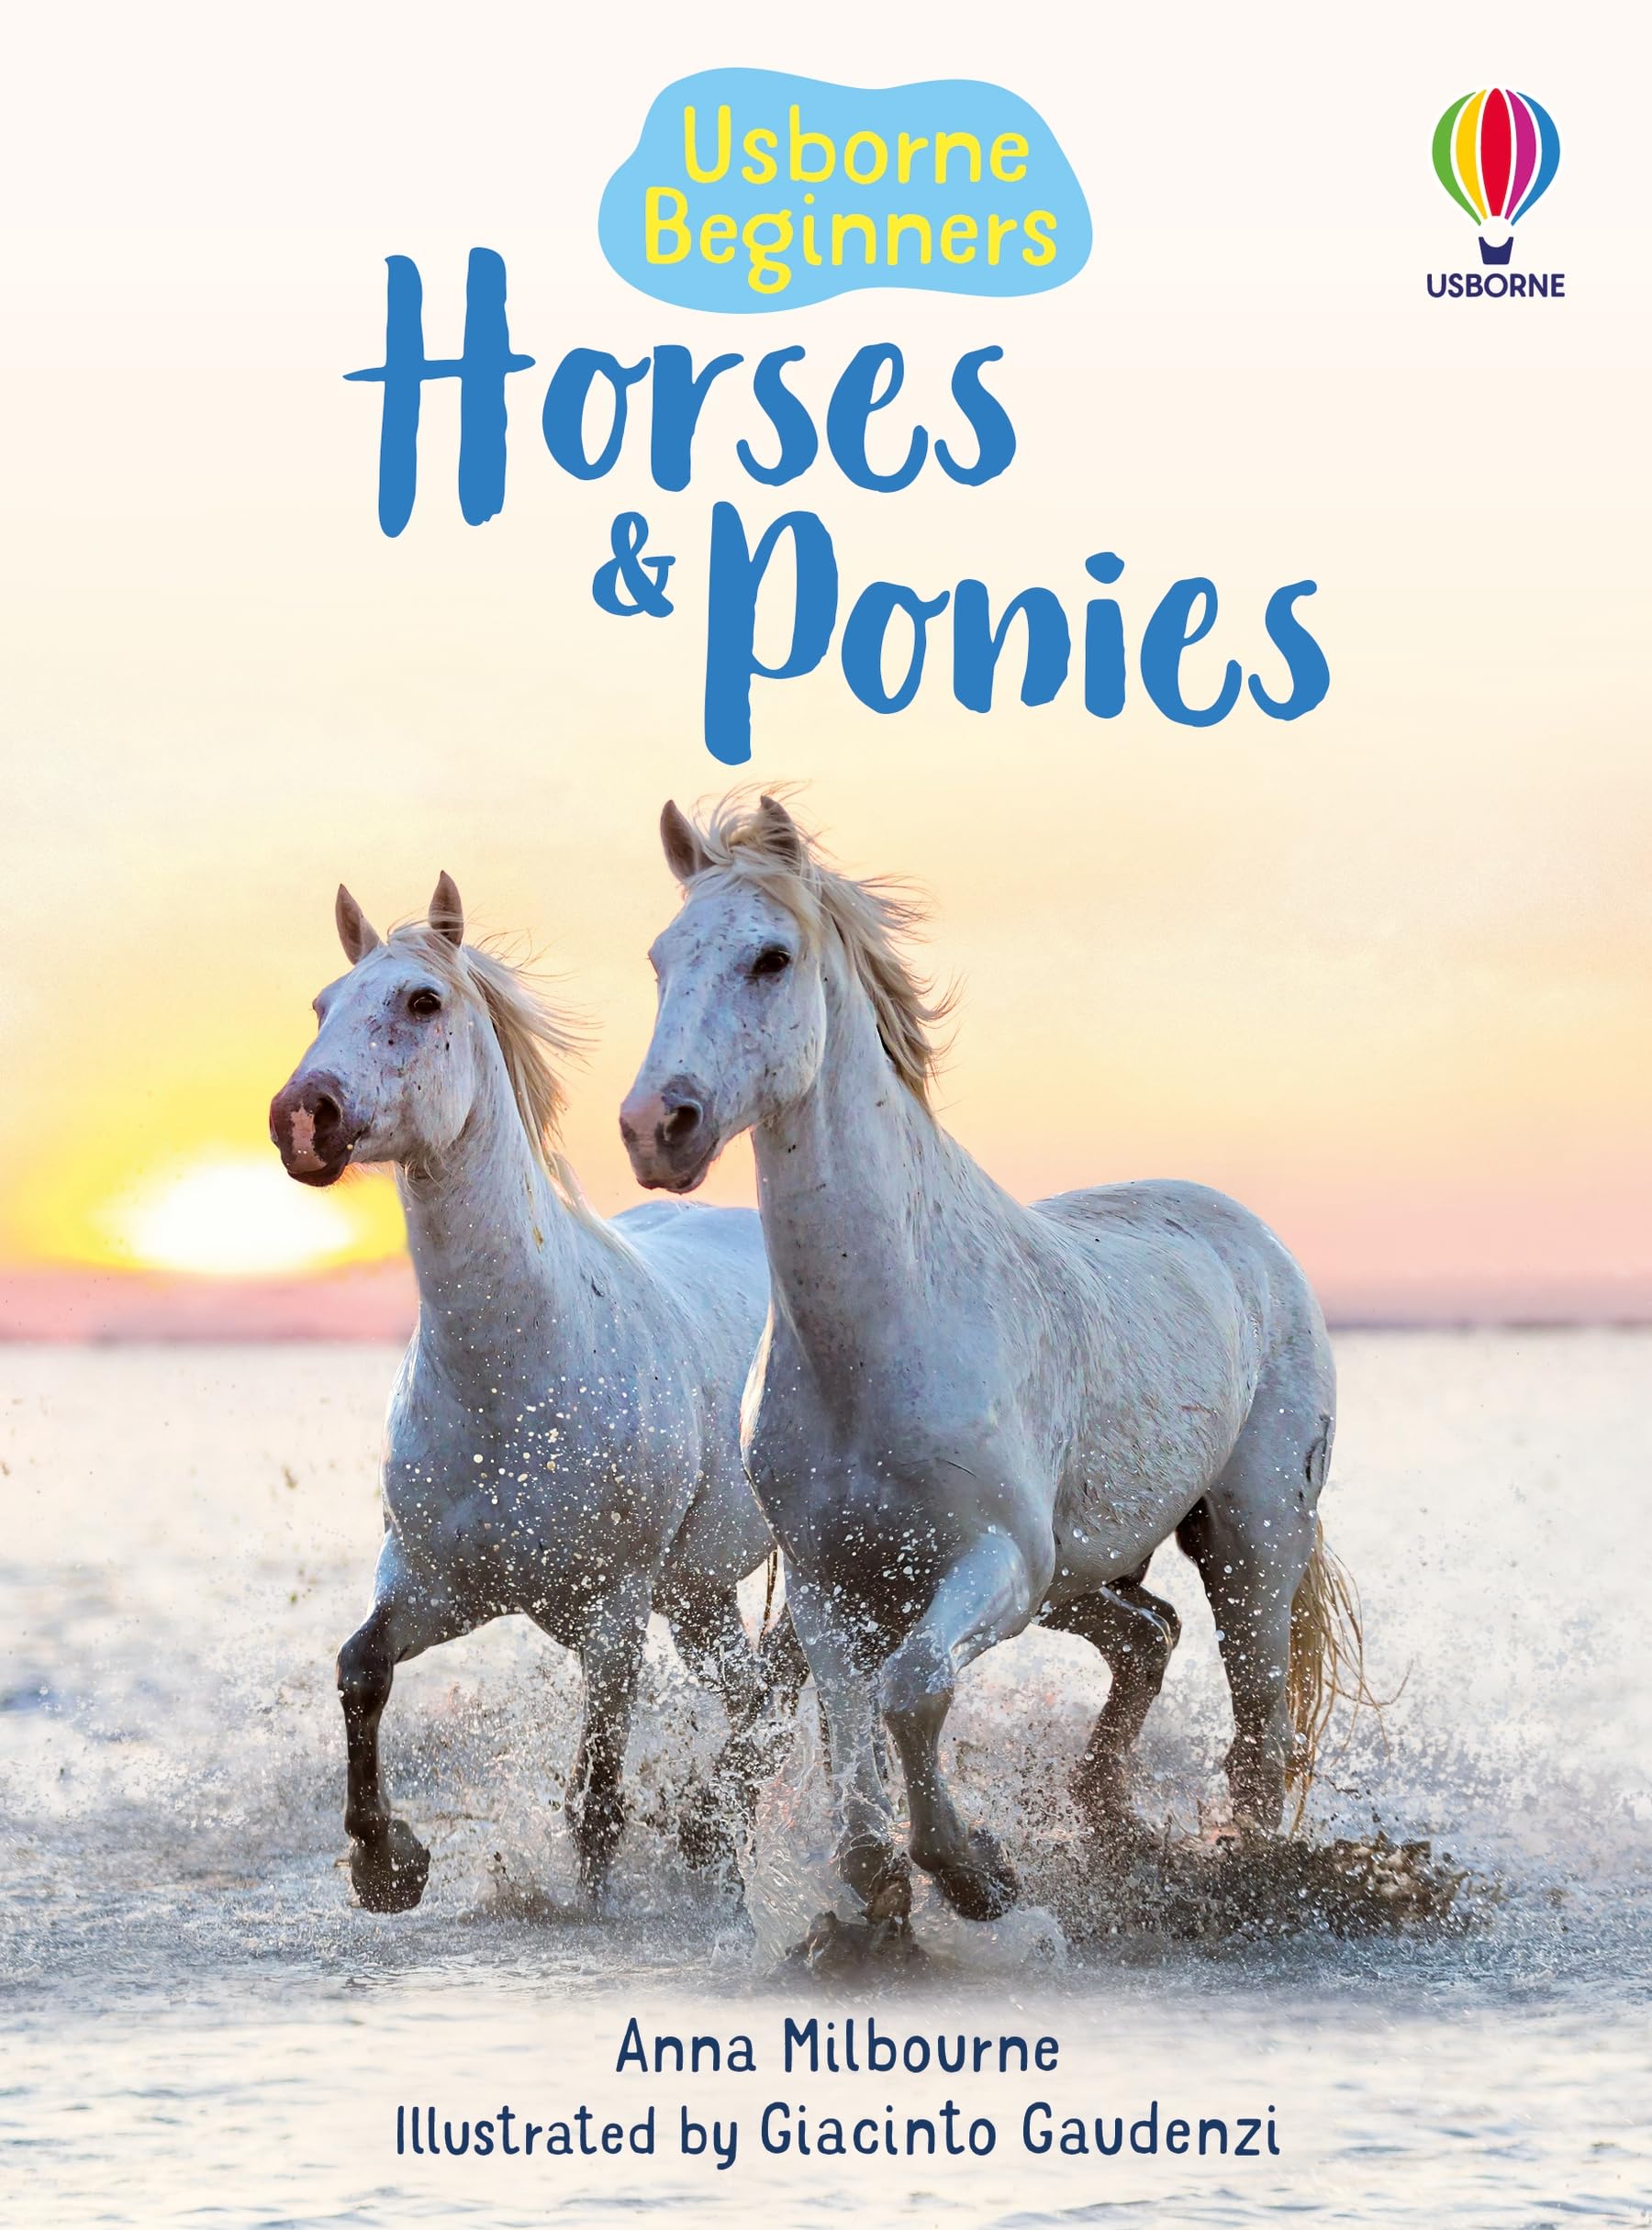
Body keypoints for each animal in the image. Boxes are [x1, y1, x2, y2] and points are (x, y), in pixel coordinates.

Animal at [269, 873, 801, 1914]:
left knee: (780, 1688)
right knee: (751, 1690)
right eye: (321, 1005)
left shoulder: (612, 1616)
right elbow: (360, 1670)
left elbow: (594, 1803)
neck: (512, 1384)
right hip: (698, 1594)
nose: (302, 1116)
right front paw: (386, 1862)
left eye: (422, 1001)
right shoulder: (433, 1585)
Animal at [621, 794, 1359, 1930]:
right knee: (1148, 1638)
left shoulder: (997, 1562)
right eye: (661, 959)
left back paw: (1244, 1869)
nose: (659, 1125)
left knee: (1259, 1722)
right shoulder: (834, 1584)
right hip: (1088, 1571)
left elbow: (913, 1689)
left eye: (770, 958)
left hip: (1250, 1540)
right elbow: (850, 1718)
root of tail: (1253, 1240)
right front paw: (882, 1876)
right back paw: (1107, 1821)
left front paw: (973, 1874)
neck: (881, 1341)